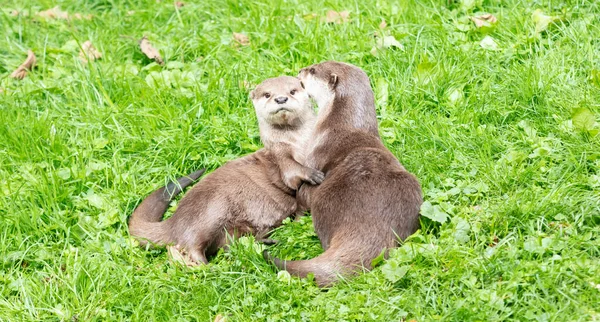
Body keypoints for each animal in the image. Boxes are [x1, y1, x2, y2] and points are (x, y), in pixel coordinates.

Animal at [129, 76, 322, 266]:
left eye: (292, 91)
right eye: (267, 94)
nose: (281, 98)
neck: (298, 140)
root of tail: (175, 220)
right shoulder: (279, 153)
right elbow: (291, 172)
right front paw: (313, 174)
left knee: (228, 244)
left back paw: (264, 241)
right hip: (211, 212)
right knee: (191, 244)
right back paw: (208, 266)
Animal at [262, 61, 422, 286]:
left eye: (313, 70)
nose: (301, 70)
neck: (340, 124)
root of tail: (373, 224)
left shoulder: (314, 158)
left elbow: (303, 193)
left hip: (324, 200)